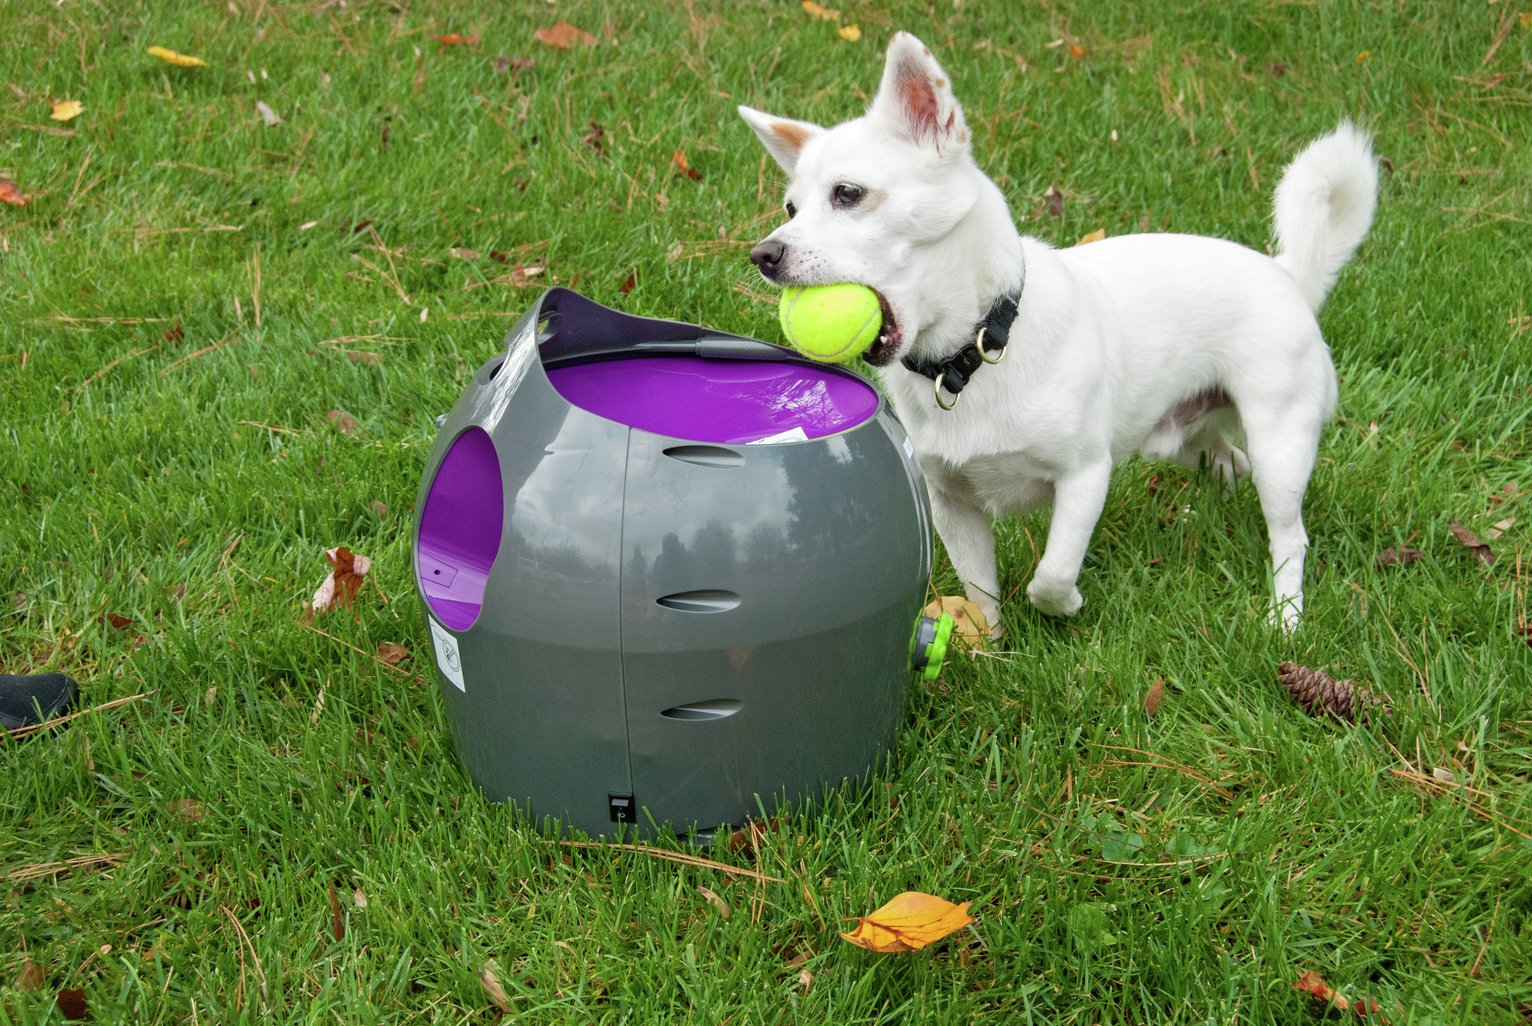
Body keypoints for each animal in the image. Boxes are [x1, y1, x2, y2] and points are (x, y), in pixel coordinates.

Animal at [741, 30, 1378, 633]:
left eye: (848, 194)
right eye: (791, 208)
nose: (763, 254)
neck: (971, 353)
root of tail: (1287, 273)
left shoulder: (1085, 477)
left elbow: (1050, 574)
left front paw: (1066, 605)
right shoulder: (952, 504)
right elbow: (981, 592)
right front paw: (990, 647)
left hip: (1280, 443)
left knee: (1288, 535)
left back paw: (1285, 619)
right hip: (1182, 437)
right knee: (1226, 459)